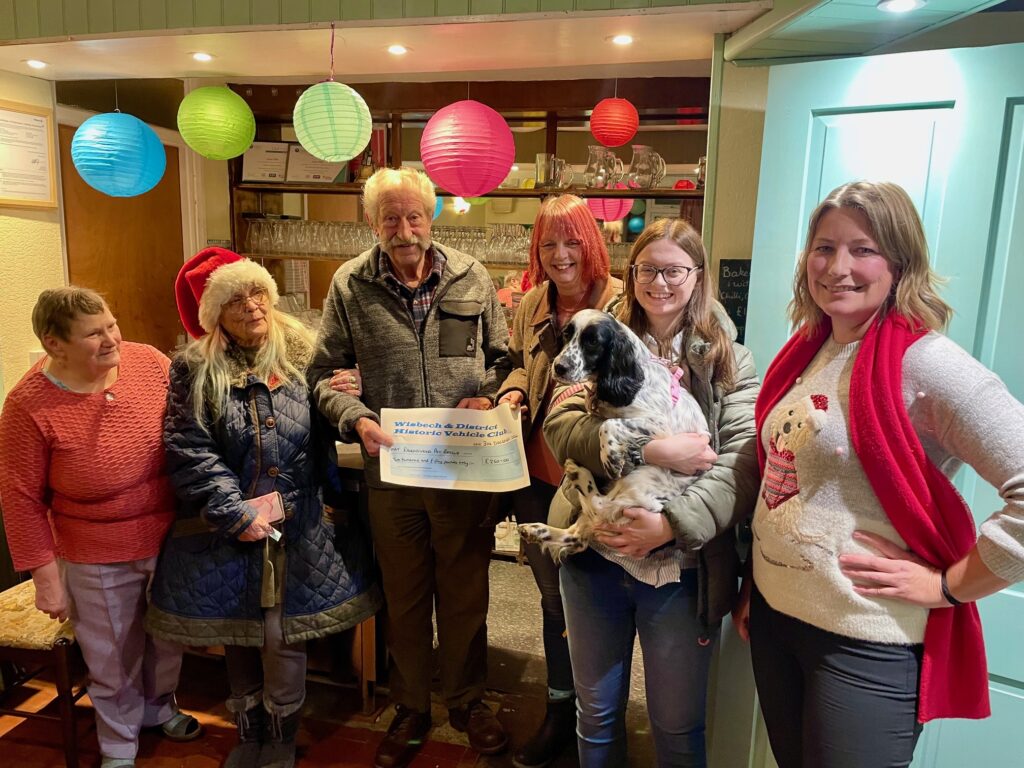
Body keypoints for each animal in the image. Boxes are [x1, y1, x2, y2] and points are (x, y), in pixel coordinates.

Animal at [520, 309, 704, 561]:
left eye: (592, 341)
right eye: (567, 334)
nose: (559, 366)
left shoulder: (660, 425)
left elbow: (608, 424)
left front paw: (611, 458)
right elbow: (605, 420)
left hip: (642, 480)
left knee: (599, 508)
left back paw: (579, 473)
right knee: (578, 538)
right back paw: (535, 529)